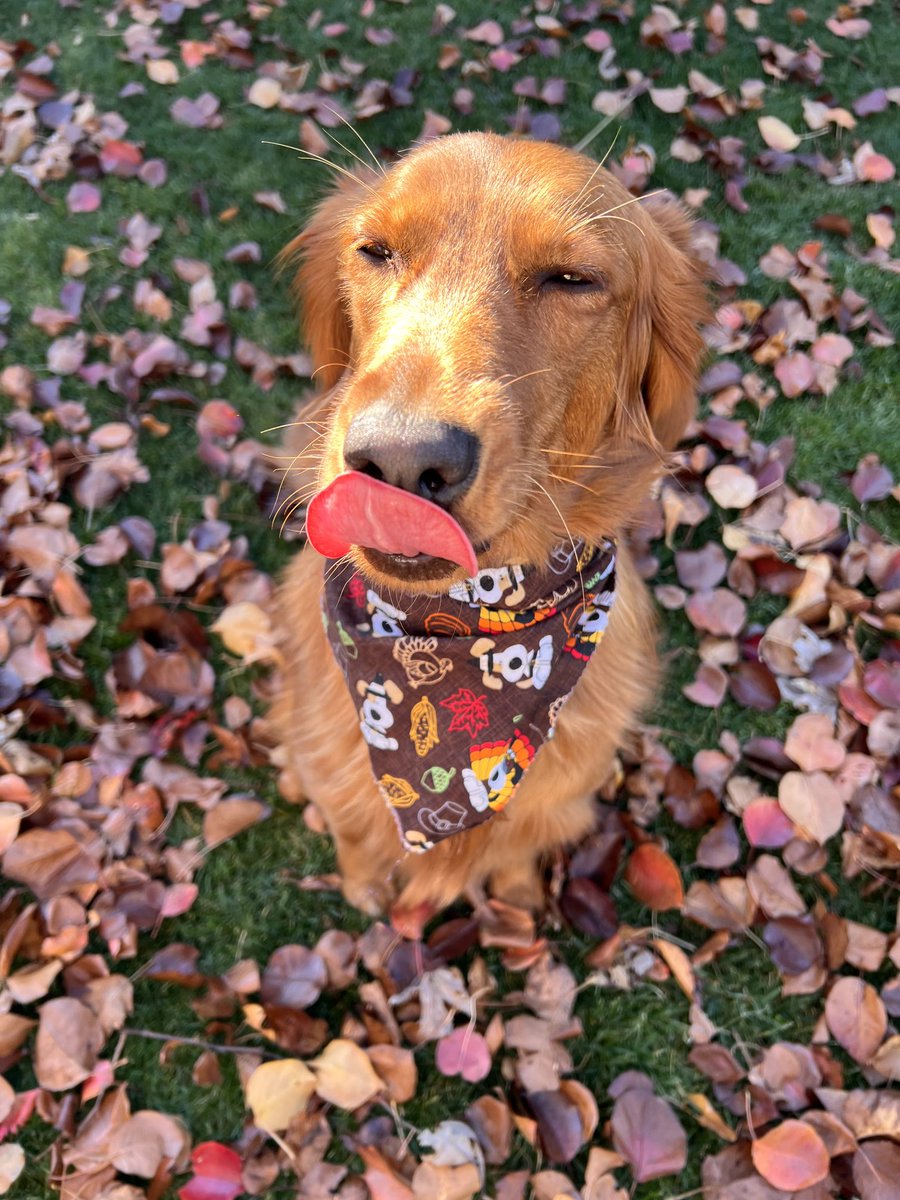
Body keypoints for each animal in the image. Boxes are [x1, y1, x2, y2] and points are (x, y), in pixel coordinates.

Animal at [271, 131, 710, 912]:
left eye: (571, 279)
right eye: (375, 251)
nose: (401, 461)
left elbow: (516, 851)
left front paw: (517, 897)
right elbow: (354, 835)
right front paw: (362, 887)